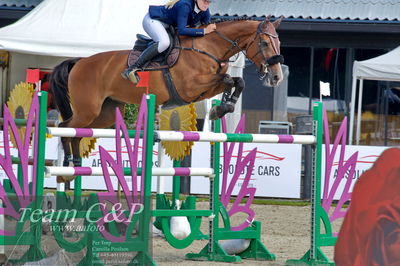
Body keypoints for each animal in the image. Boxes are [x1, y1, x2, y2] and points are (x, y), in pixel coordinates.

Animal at [49, 15, 284, 176]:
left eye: (279, 43)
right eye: (264, 43)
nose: (276, 77)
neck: (209, 47)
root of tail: (79, 61)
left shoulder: (205, 88)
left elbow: (236, 81)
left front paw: (224, 106)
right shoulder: (190, 86)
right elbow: (227, 79)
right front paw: (221, 108)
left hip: (104, 113)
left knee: (77, 131)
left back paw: (76, 164)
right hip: (88, 109)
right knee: (65, 127)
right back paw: (68, 162)